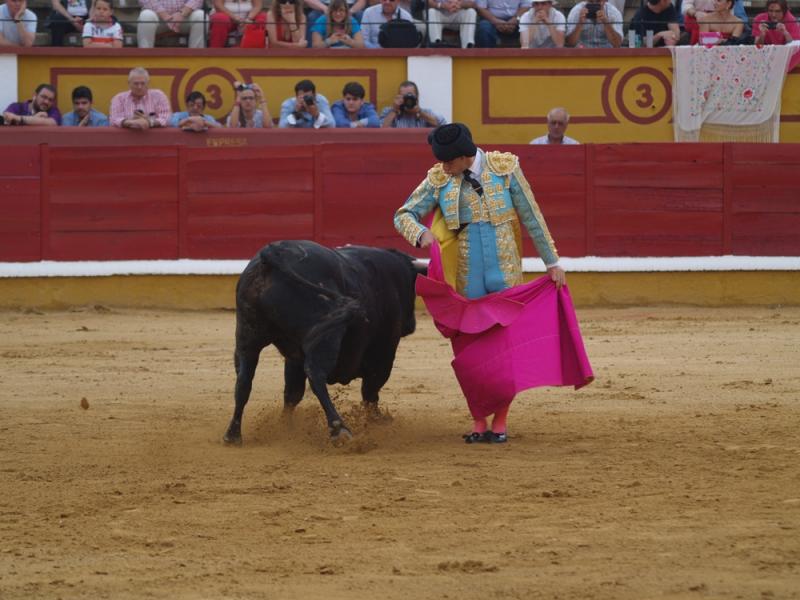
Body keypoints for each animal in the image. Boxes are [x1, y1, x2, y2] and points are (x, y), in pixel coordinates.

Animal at [223, 240, 424, 446]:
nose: (411, 324)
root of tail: (274, 251)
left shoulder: (294, 357)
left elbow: (292, 393)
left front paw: (285, 427)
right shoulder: (384, 352)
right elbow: (370, 391)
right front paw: (377, 419)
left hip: (247, 337)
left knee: (244, 381)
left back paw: (233, 434)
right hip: (325, 336)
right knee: (315, 374)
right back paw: (340, 430)